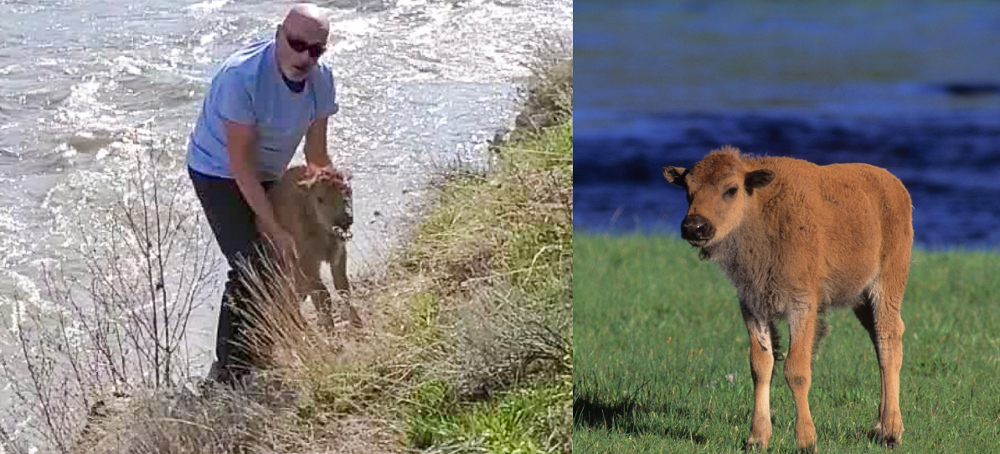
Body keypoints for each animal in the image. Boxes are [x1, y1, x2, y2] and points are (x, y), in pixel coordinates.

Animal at [663, 146, 913, 451]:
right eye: (688, 190)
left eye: (731, 189)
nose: (694, 227)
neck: (760, 209)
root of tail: (894, 185)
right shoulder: (752, 306)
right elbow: (761, 367)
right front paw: (756, 439)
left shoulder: (801, 307)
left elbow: (796, 370)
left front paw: (806, 441)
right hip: (862, 300)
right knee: (878, 342)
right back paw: (878, 427)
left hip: (887, 285)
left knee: (889, 342)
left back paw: (891, 432)